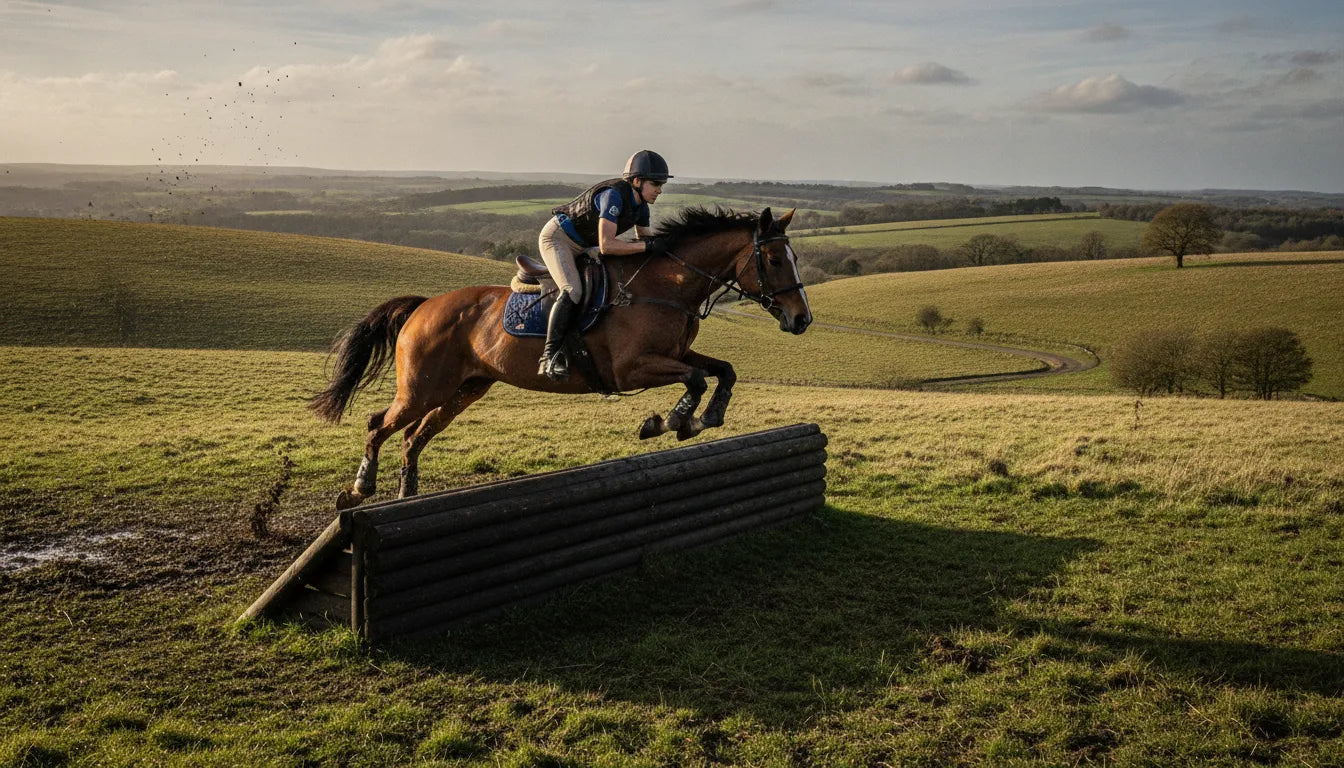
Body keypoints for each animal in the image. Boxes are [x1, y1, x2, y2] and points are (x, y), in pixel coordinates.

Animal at [310, 206, 812, 510]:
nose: (802, 319)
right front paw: (669, 422)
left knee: (414, 436)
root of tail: (423, 306)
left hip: (464, 389)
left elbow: (721, 371)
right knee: (380, 423)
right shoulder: (631, 369)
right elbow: (695, 379)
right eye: (773, 260)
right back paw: (359, 489)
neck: (666, 286)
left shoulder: (676, 353)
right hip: (422, 388)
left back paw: (406, 494)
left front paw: (702, 419)